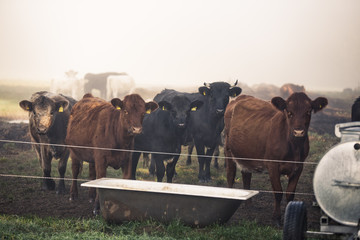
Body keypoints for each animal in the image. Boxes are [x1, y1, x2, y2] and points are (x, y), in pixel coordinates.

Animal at [225, 92, 330, 225]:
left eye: (308, 111)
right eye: (289, 112)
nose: (298, 132)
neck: (293, 147)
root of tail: (240, 97)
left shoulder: (299, 166)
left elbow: (290, 193)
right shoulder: (273, 165)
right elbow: (278, 191)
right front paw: (276, 217)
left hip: (246, 153)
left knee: (246, 175)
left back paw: (248, 204)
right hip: (228, 150)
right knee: (230, 175)